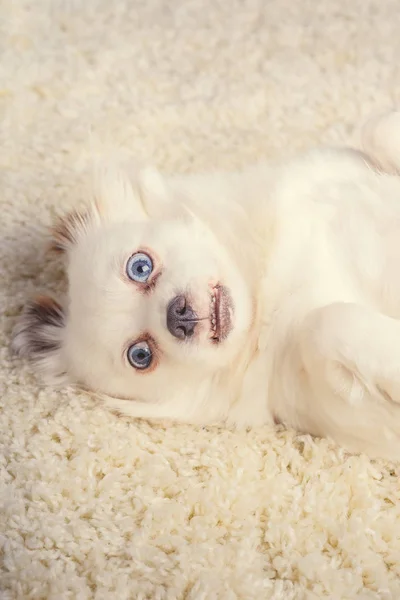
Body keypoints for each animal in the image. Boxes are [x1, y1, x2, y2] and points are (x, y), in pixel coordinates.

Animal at [12, 111, 400, 460]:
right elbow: (329, 322)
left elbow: (379, 125)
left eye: (140, 267)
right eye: (140, 355)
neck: (265, 295)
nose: (179, 316)